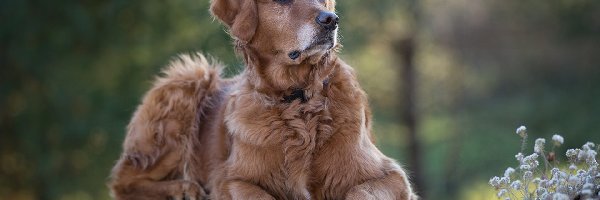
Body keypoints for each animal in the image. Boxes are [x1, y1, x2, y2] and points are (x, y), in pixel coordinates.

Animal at [109, 0, 418, 200]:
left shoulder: (390, 175)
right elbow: (258, 194)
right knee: (122, 182)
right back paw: (183, 189)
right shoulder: (230, 178)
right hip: (190, 76)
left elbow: (360, 191)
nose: (331, 19)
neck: (298, 99)